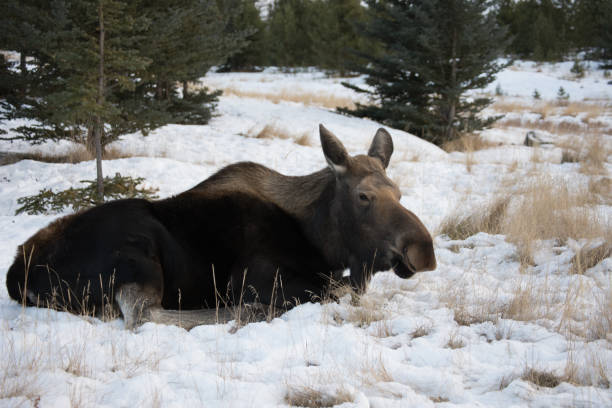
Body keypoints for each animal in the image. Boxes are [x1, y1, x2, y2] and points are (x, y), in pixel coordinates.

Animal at [4, 124, 436, 328]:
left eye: (398, 191)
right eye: (364, 196)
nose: (423, 250)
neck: (321, 241)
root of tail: (16, 274)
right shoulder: (257, 277)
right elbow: (338, 288)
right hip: (137, 250)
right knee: (145, 314)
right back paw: (249, 312)